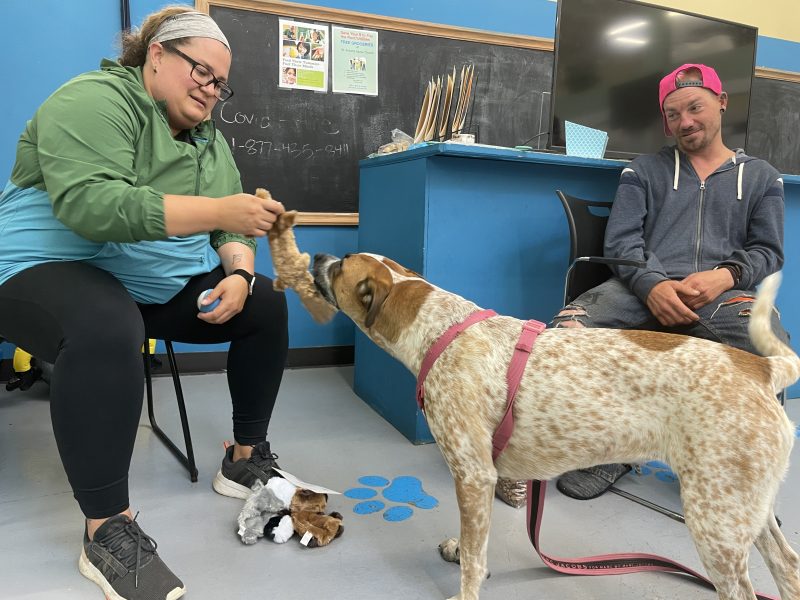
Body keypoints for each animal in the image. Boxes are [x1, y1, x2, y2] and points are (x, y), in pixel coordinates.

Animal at [310, 252, 800, 600]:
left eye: (342, 264)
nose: (316, 255)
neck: (443, 331)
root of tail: (762, 368)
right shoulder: (485, 477)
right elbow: (475, 545)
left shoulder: (473, 474)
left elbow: (473, 561)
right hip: (746, 512)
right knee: (790, 570)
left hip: (715, 524)